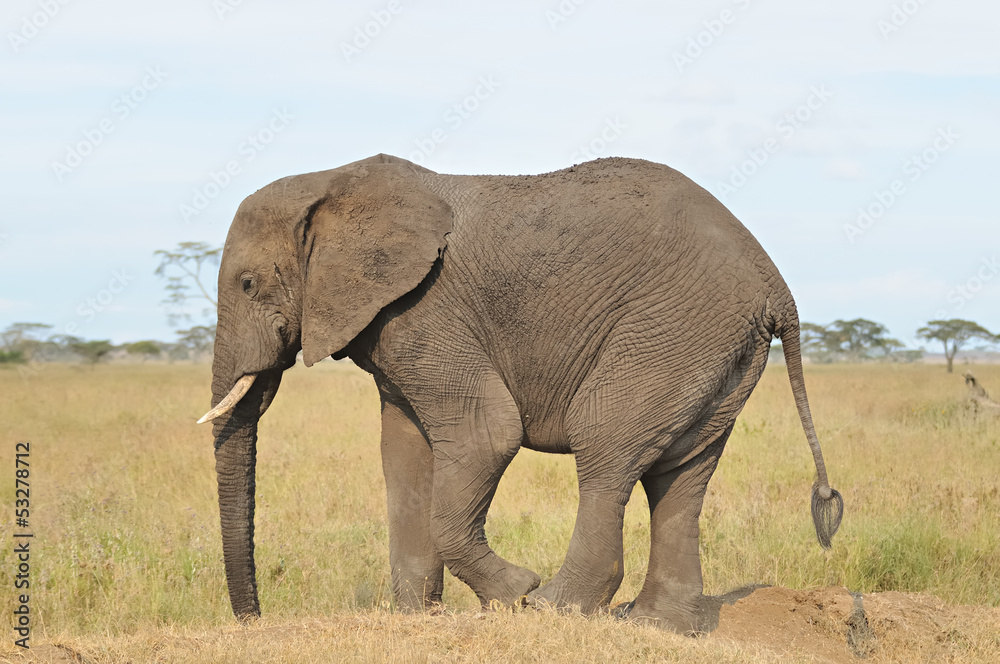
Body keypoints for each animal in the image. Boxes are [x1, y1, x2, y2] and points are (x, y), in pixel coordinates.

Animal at [198, 153, 843, 632]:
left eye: (248, 284)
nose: (253, 621)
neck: (330, 182)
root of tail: (776, 285)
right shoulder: (394, 324)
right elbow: (403, 453)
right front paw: (415, 616)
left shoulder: (428, 309)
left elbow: (487, 434)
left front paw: (512, 595)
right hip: (718, 351)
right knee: (682, 476)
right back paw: (655, 624)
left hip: (674, 330)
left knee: (606, 445)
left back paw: (555, 607)